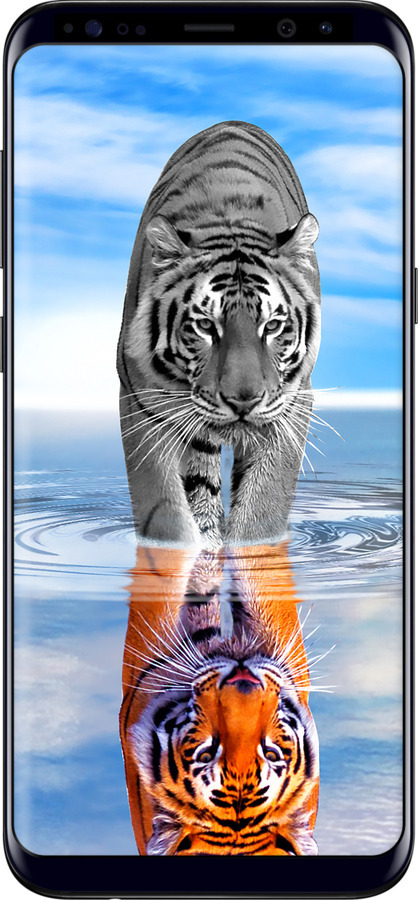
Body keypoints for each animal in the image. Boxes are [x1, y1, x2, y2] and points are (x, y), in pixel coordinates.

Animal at [117, 120, 321, 548]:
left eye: (272, 326)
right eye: (205, 326)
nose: (243, 401)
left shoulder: (292, 404)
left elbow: (263, 509)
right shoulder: (141, 401)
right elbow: (165, 511)